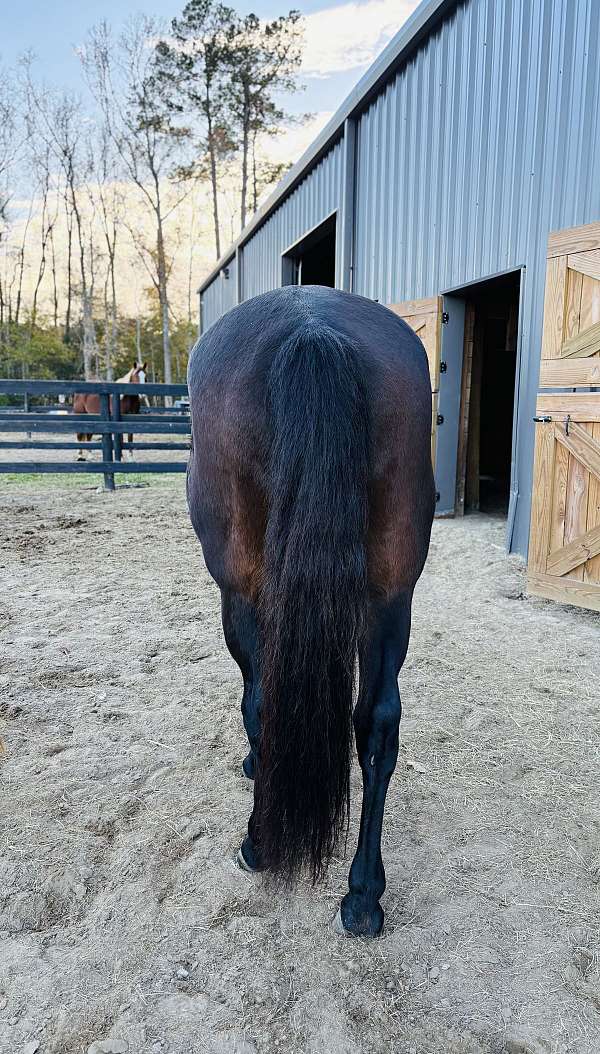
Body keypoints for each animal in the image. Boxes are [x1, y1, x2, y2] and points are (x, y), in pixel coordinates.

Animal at [184, 284, 432, 935]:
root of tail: (312, 328)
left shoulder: (240, 598)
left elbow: (254, 700)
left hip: (244, 585)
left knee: (264, 699)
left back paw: (259, 843)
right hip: (392, 596)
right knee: (378, 723)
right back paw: (363, 894)